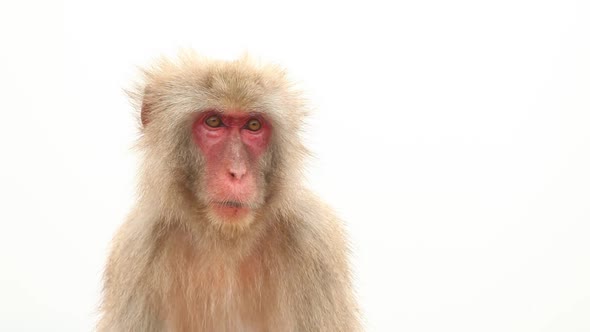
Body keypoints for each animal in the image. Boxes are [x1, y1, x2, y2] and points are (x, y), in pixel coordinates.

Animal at [98, 53, 360, 330]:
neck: (225, 238)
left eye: (253, 125)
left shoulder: (314, 242)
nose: (237, 172)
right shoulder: (138, 251)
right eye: (214, 121)